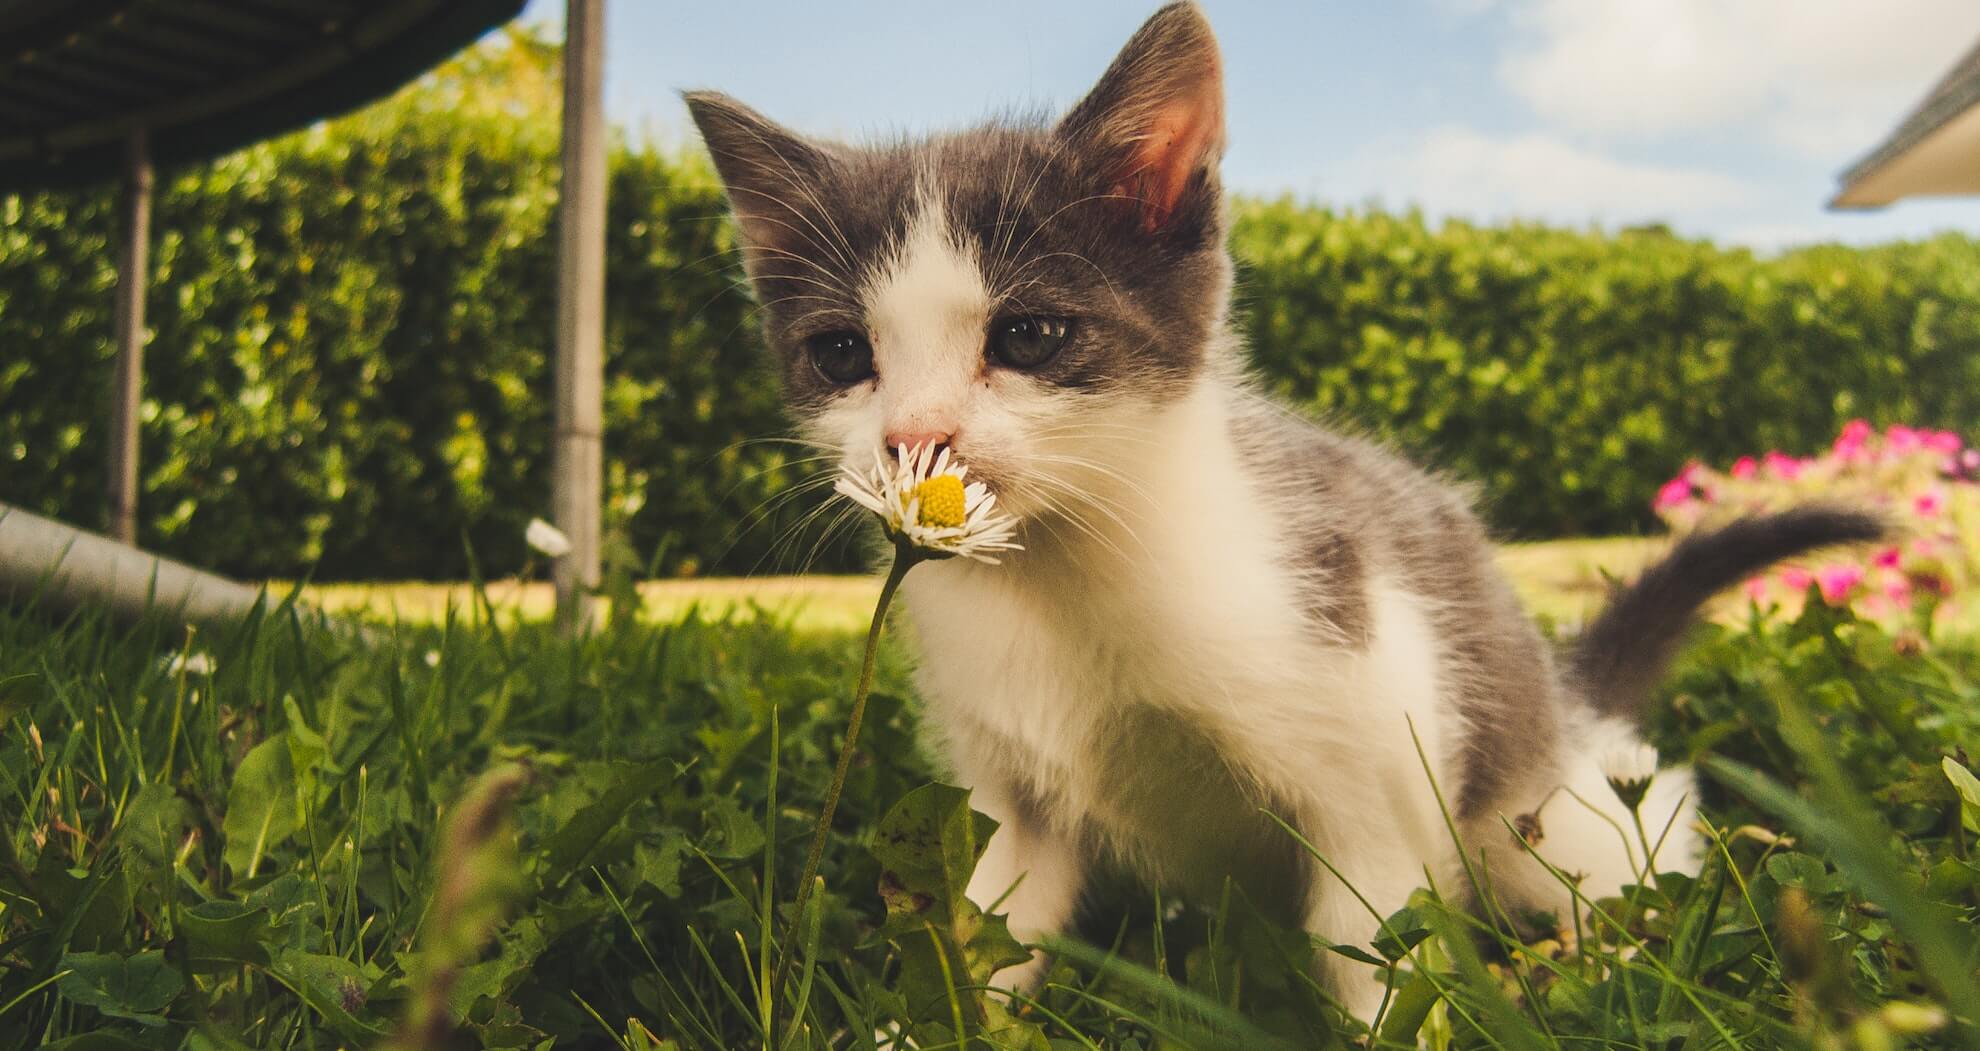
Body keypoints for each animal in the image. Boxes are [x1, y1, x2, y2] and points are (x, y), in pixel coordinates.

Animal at [689, 0, 1877, 1021]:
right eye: (843, 354)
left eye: (1027, 336)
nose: (914, 438)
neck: (1062, 576)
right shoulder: (1010, 797)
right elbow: (990, 929)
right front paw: (923, 1024)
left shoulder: (1376, 748)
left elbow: (1376, 953)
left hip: (1541, 808)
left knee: (1634, 836)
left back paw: (1599, 958)